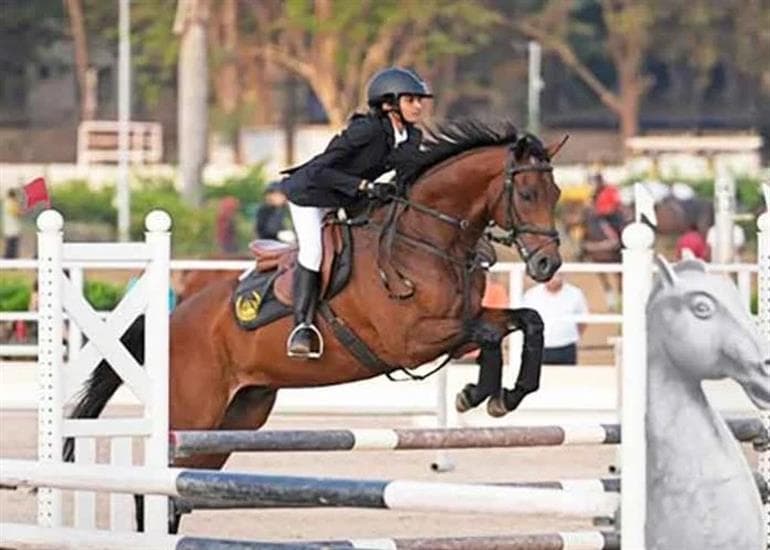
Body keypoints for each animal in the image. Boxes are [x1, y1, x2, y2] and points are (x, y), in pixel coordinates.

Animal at [65, 121, 565, 531]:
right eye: (526, 194)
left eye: (556, 194)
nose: (547, 264)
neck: (425, 240)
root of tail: (173, 319)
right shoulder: (413, 339)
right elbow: (489, 335)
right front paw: (478, 395)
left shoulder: (459, 324)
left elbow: (528, 321)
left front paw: (509, 395)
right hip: (194, 414)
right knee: (152, 486)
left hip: (238, 416)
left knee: (181, 487)